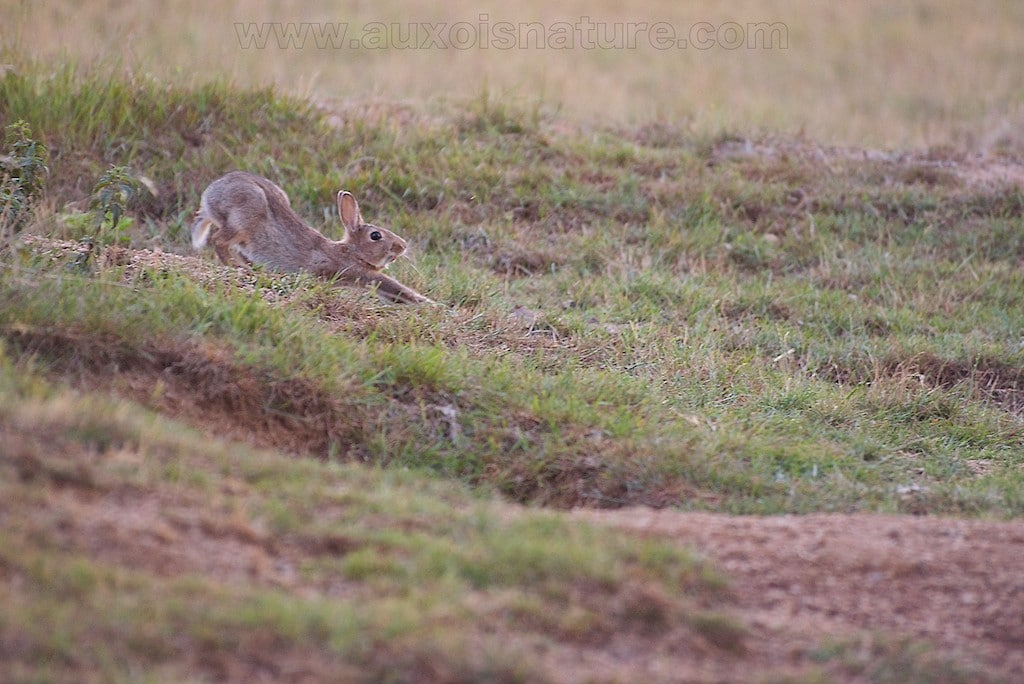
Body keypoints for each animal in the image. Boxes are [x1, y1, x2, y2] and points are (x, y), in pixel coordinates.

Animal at [191, 169, 432, 301]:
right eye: (375, 236)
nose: (402, 246)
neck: (351, 251)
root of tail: (209, 195)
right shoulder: (358, 272)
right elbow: (397, 288)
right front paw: (430, 304)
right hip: (244, 218)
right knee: (218, 240)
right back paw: (237, 266)